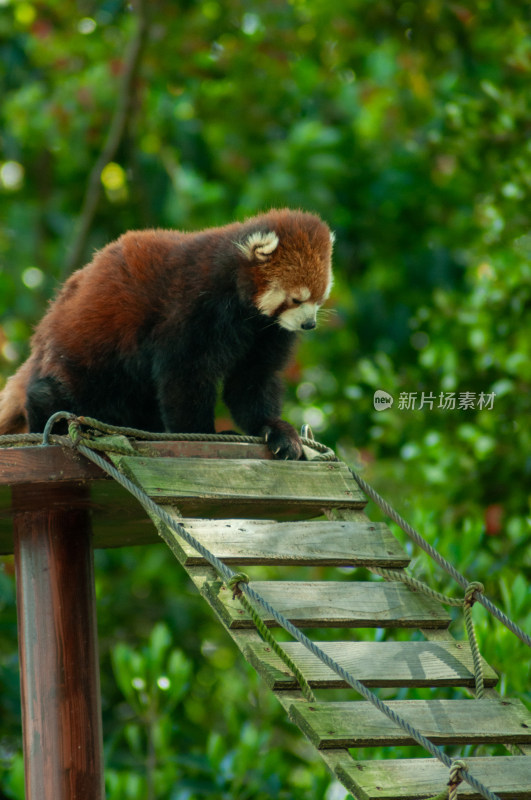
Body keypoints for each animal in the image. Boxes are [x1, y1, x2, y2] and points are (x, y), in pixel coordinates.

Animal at [0, 209, 332, 460]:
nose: (309, 325)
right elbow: (185, 377)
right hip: (86, 348)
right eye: (296, 299)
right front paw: (205, 434)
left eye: (319, 299)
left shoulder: (266, 332)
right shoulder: (193, 308)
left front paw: (276, 431)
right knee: (60, 389)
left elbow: (253, 381)